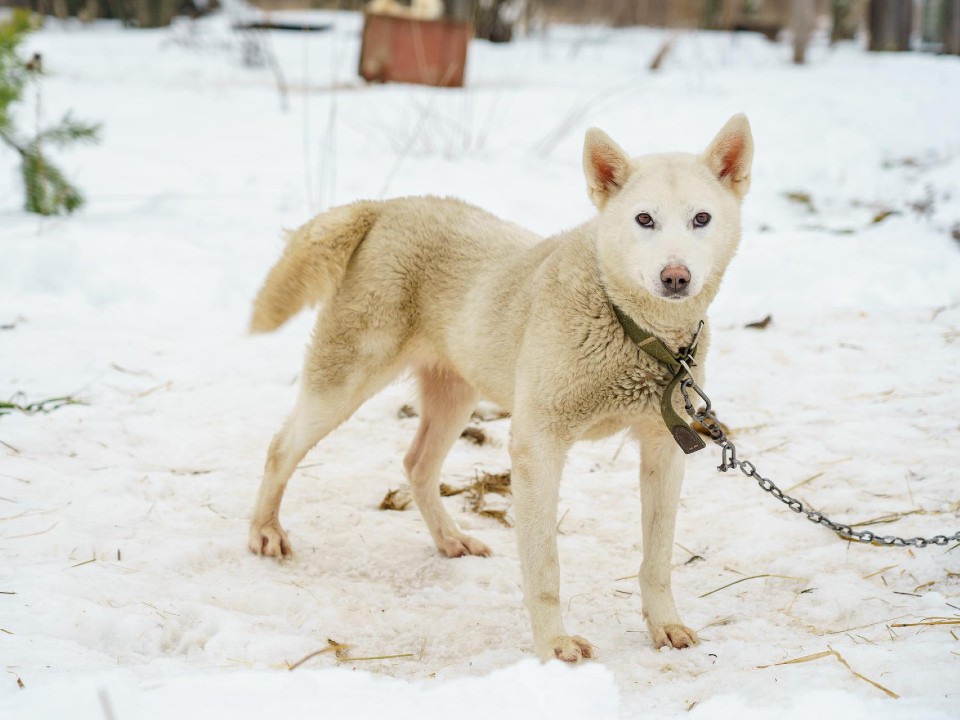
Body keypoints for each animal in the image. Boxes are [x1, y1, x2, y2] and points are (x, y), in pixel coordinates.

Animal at [244, 116, 752, 664]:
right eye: (644, 219)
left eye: (701, 218)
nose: (675, 276)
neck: (636, 330)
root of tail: (384, 208)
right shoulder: (538, 446)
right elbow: (545, 566)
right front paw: (553, 645)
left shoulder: (663, 449)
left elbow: (657, 560)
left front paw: (665, 625)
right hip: (345, 382)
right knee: (281, 448)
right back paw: (265, 531)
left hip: (456, 397)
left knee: (417, 465)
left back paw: (449, 539)